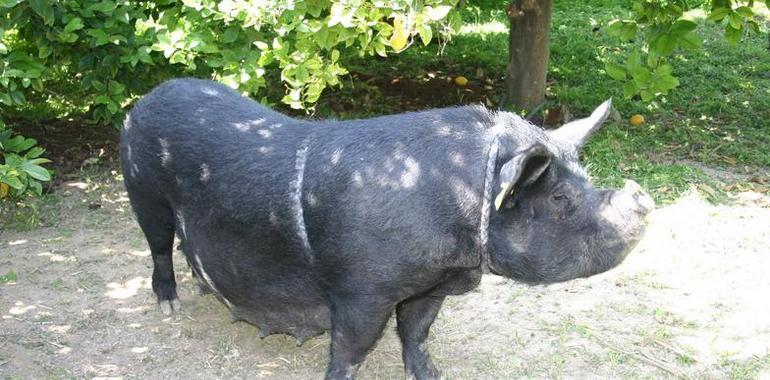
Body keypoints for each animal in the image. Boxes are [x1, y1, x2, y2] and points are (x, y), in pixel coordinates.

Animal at [118, 78, 648, 378]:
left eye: (586, 179)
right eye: (560, 199)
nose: (644, 201)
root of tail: (145, 100)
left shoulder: (431, 284)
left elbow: (417, 332)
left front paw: (432, 375)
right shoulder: (361, 288)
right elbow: (351, 348)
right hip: (142, 190)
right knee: (158, 245)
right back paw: (168, 305)